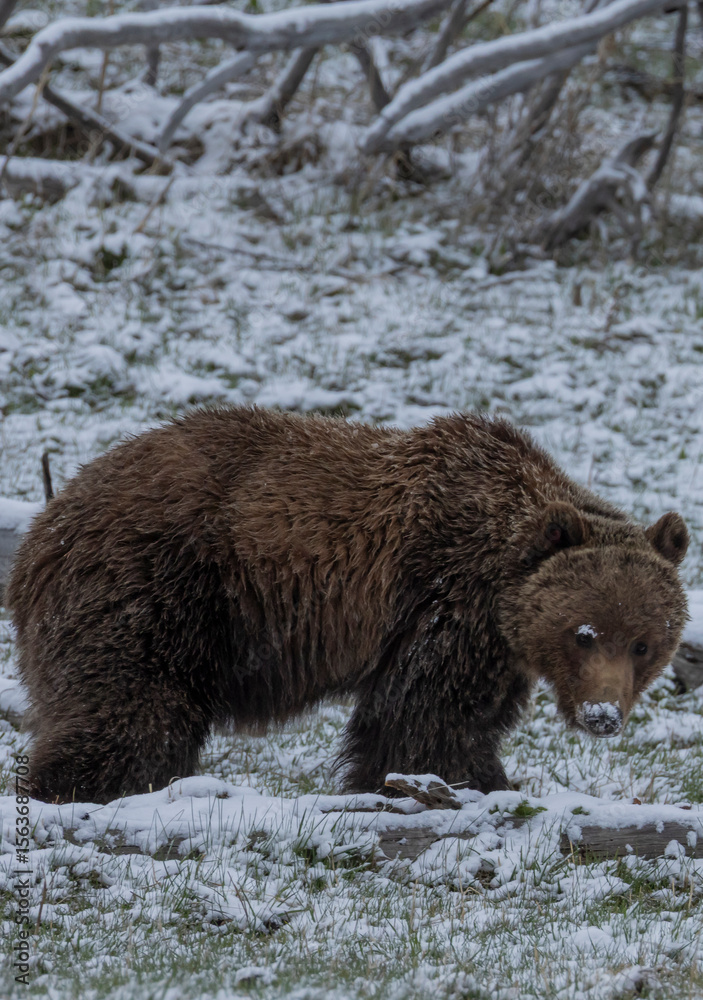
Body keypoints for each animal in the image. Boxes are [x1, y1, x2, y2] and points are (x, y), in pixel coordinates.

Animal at [7, 406, 689, 804]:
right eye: (583, 632)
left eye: (643, 642)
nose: (603, 715)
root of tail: (48, 523)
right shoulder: (444, 599)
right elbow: (427, 716)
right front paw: (464, 782)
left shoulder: (494, 642)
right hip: (156, 588)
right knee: (132, 706)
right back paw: (81, 786)